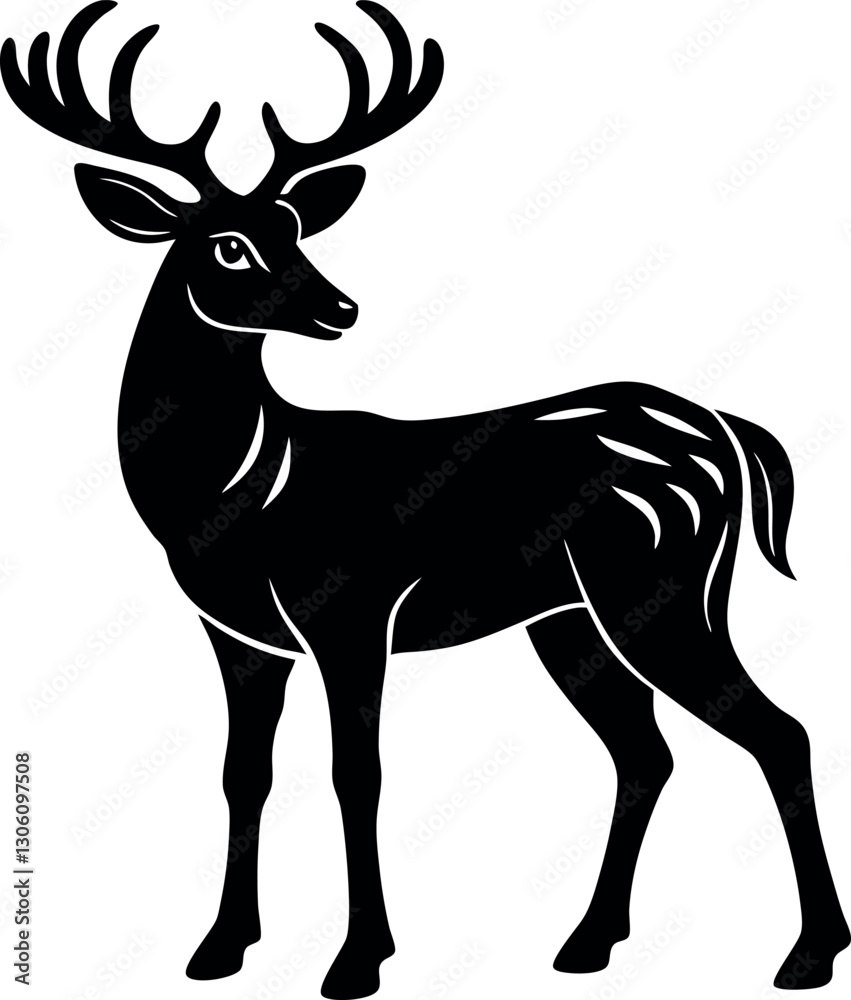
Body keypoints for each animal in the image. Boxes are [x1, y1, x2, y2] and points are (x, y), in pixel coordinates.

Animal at [2, 2, 848, 996]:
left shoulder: (350, 610)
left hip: (664, 587)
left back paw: (806, 954)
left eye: (296, 228)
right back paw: (588, 941)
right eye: (230, 243)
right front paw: (218, 948)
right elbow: (244, 773)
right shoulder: (238, 634)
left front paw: (357, 959)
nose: (339, 308)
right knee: (647, 753)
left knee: (778, 730)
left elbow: (355, 773)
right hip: (571, 620)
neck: (238, 492)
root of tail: (724, 430)